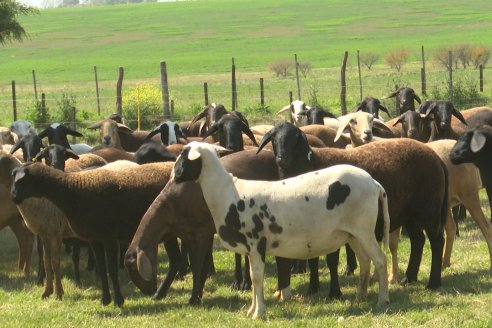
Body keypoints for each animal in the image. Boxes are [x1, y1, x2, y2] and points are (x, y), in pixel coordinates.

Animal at [9, 160, 175, 306]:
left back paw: (159, 292)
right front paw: (105, 300)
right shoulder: (93, 239)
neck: (74, 191)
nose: (13, 197)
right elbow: (100, 269)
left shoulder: (108, 237)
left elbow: (111, 270)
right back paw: (160, 292)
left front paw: (118, 301)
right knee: (177, 261)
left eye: (21, 181)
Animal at [171, 142, 390, 318]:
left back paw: (383, 299)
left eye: (183, 155)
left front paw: (259, 312)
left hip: (364, 229)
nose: (173, 177)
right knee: (365, 261)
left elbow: (257, 277)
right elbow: (253, 277)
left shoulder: (256, 242)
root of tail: (374, 183)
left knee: (380, 260)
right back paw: (360, 297)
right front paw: (252, 310)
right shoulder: (250, 249)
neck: (229, 194)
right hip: (353, 233)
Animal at [260, 121, 448, 290]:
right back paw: (409, 278)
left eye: (295, 137)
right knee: (418, 240)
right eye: (274, 138)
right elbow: (313, 258)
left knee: (437, 240)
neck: (308, 164)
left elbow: (330, 259)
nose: (282, 159)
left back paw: (433, 282)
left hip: (429, 208)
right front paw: (313, 289)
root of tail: (435, 156)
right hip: (410, 212)